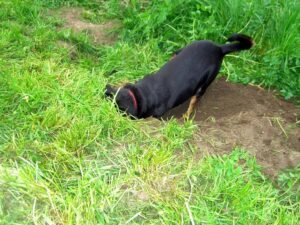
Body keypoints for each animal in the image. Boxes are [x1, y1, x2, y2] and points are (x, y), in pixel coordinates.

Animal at [105, 34, 253, 118]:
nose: (104, 90)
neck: (140, 94)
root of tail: (219, 48)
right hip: (181, 50)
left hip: (203, 84)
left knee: (193, 102)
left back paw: (186, 117)